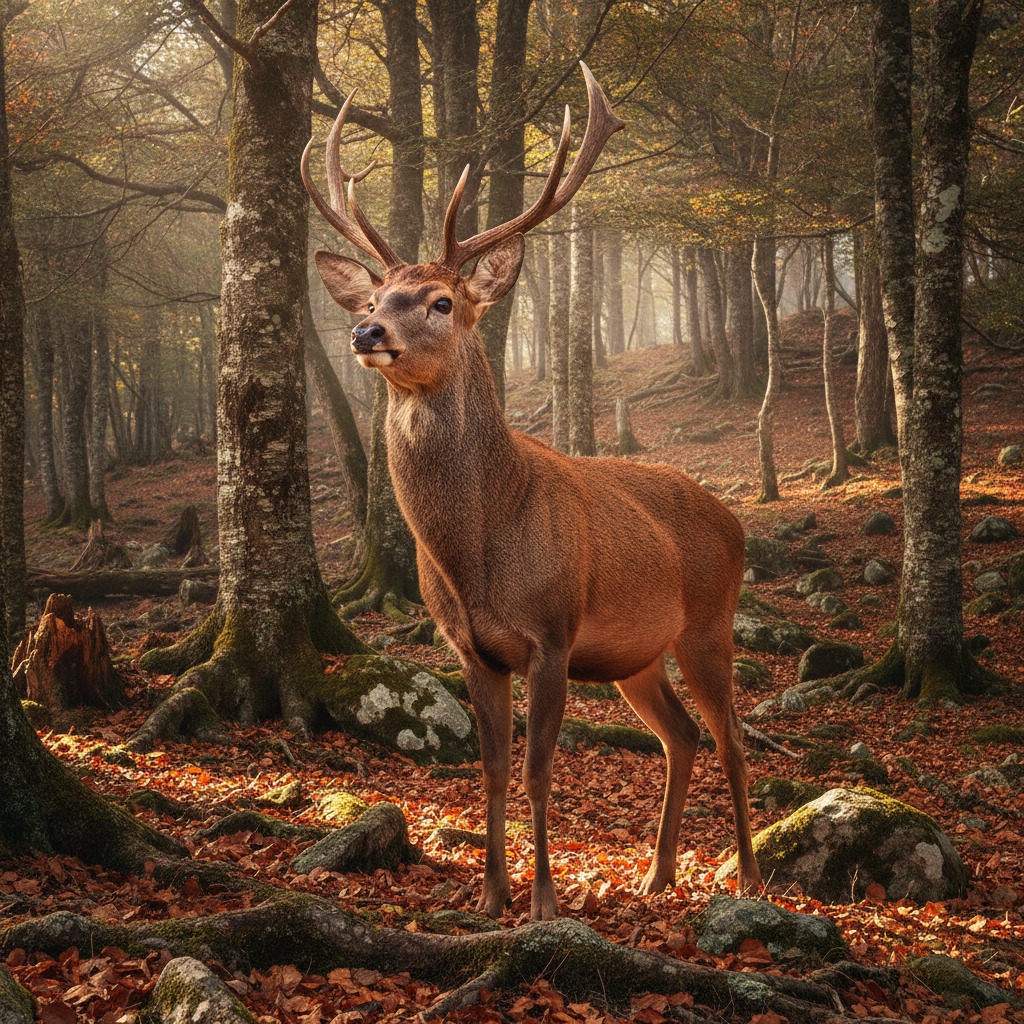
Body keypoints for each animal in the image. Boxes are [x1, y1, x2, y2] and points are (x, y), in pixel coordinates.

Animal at [302, 64, 763, 922]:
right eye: (376, 299)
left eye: (443, 301)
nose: (366, 332)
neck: (479, 550)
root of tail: (735, 518)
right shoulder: (471, 648)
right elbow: (488, 769)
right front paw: (489, 896)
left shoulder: (551, 632)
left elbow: (538, 769)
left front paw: (545, 901)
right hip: (633, 657)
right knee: (680, 736)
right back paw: (656, 876)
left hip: (709, 624)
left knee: (732, 737)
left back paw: (750, 877)